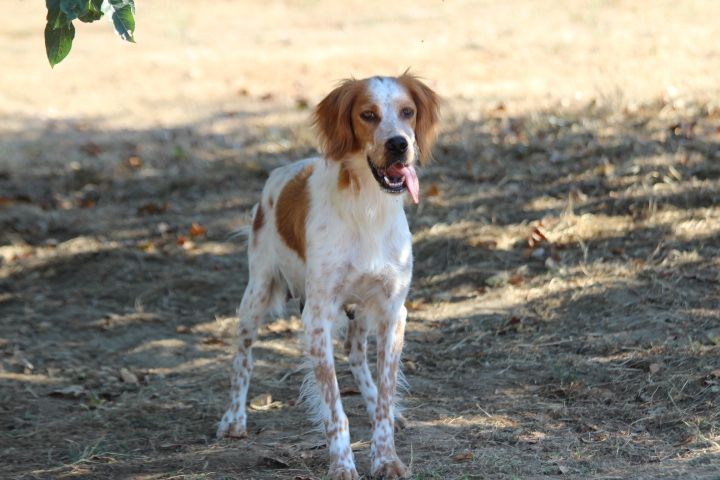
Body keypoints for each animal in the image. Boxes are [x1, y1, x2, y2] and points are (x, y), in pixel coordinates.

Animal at [215, 73, 438, 478]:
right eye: (368, 114)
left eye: (408, 112)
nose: (399, 144)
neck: (368, 208)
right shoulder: (318, 317)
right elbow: (335, 409)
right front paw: (342, 464)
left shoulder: (392, 311)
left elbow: (385, 392)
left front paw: (386, 456)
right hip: (257, 293)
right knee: (243, 356)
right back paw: (234, 418)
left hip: (362, 310)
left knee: (356, 354)